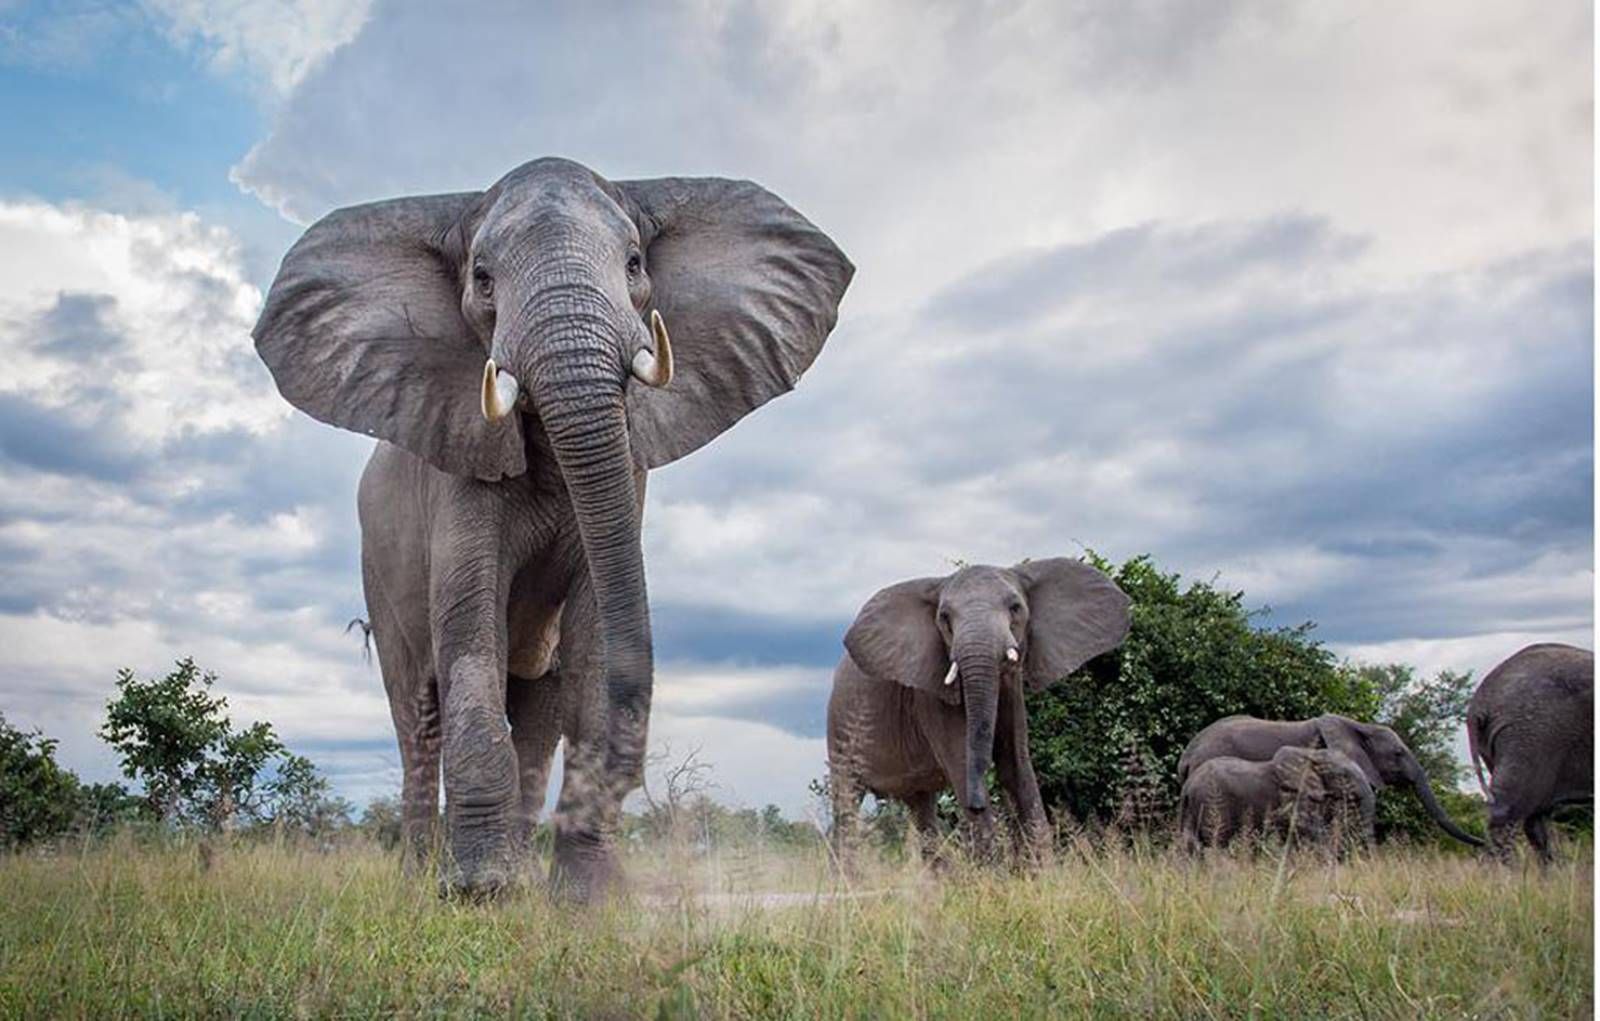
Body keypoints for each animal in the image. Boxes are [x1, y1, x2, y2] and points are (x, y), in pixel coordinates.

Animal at [253, 157, 852, 899]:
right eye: (482, 278)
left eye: (634, 263)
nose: (629, 777)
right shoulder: (459, 456)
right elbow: (469, 627)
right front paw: (476, 893)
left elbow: (594, 635)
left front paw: (586, 900)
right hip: (378, 571)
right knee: (418, 713)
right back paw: (425, 881)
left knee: (538, 715)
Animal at [826, 559, 1130, 865]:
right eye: (944, 618)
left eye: (1015, 607)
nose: (976, 803)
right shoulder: (931, 695)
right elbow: (962, 762)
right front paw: (994, 873)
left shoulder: (1012, 690)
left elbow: (1018, 766)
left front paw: (1043, 872)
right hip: (840, 729)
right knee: (847, 801)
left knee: (922, 808)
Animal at [1179, 747, 1375, 853]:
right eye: (1343, 776)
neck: (1311, 754)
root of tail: (1187, 786)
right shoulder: (1293, 792)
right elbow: (1302, 825)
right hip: (1211, 801)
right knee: (1216, 841)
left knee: (1189, 842)